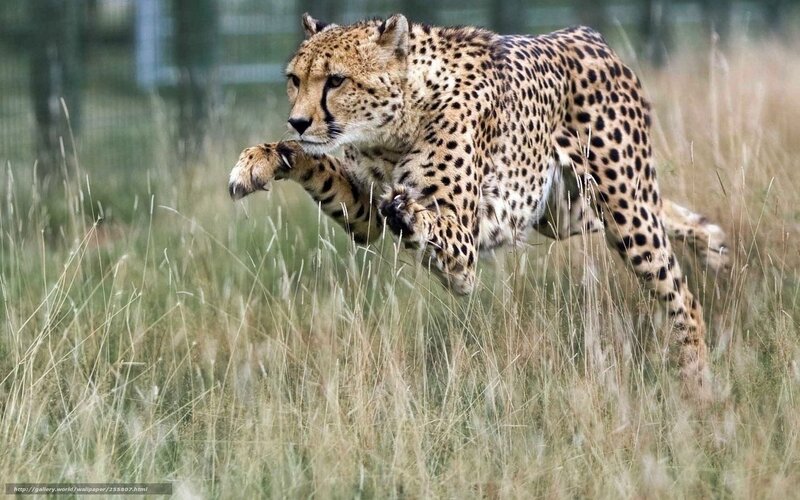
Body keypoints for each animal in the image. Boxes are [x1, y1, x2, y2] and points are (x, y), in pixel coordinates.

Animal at [228, 13, 730, 394]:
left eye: (336, 80)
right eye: (295, 80)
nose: (297, 120)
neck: (391, 130)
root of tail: (586, 34)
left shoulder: (464, 253)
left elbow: (430, 222)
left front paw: (409, 212)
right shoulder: (364, 211)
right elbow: (318, 165)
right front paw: (261, 159)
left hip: (624, 210)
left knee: (681, 295)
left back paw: (697, 383)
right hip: (569, 213)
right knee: (666, 214)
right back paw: (714, 245)